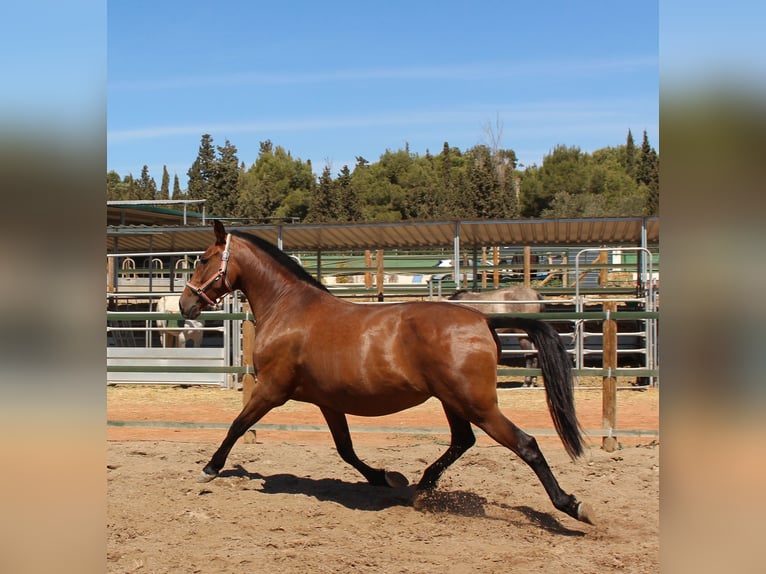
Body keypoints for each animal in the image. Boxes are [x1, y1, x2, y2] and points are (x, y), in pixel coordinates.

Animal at [178, 222, 592, 528]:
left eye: (203, 259)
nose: (185, 304)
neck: (288, 309)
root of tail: (484, 319)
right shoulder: (328, 402)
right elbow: (346, 449)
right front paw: (386, 477)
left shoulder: (272, 390)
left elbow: (237, 425)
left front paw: (209, 469)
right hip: (454, 401)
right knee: (463, 441)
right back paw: (421, 486)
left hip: (477, 404)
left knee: (526, 444)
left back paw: (572, 505)